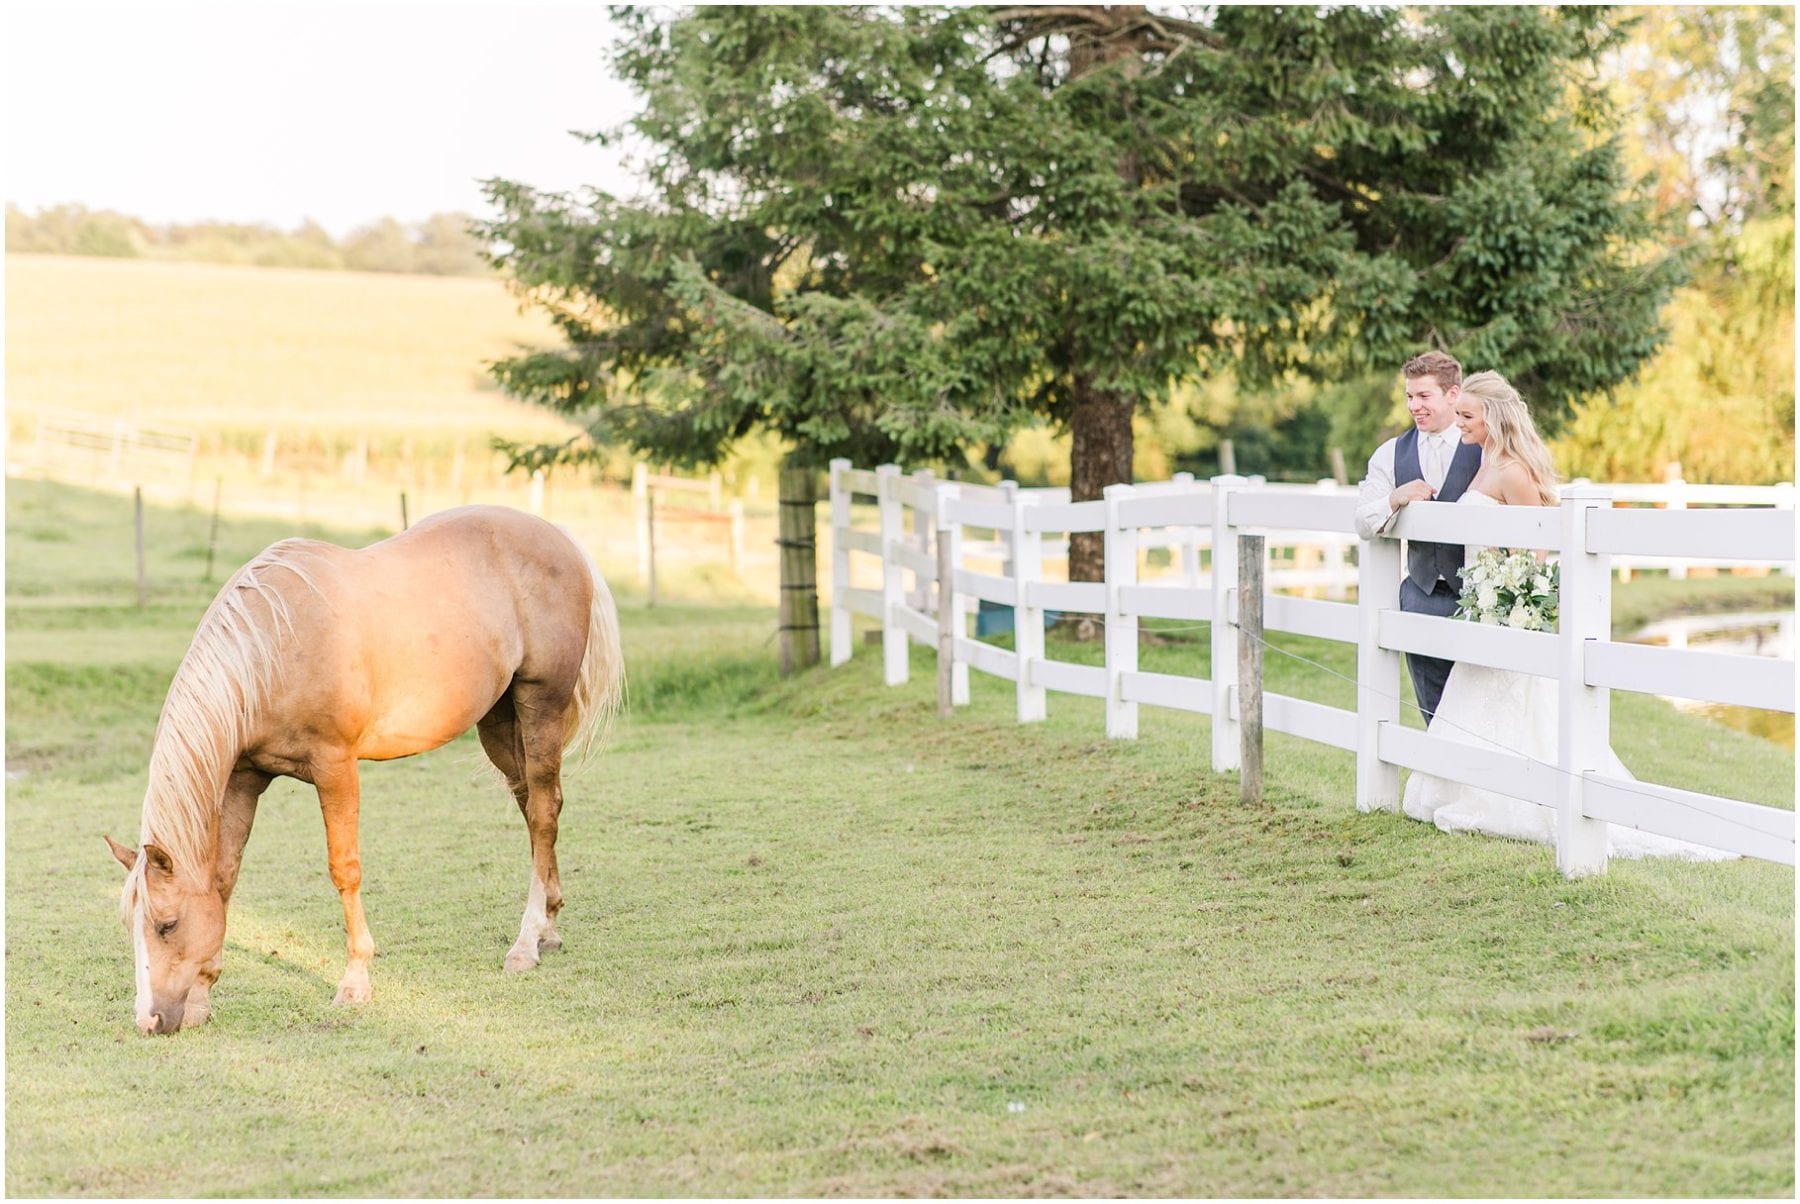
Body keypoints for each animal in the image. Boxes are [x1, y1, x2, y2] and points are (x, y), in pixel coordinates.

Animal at [105, 507, 630, 1036]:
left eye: (167, 925)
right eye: (133, 928)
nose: (149, 1020)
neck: (271, 648)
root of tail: (560, 538)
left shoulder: (335, 766)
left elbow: (345, 869)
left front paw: (356, 980)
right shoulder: (244, 778)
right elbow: (225, 875)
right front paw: (201, 999)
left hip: (541, 706)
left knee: (543, 813)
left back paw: (526, 943)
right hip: (500, 722)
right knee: (533, 808)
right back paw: (549, 928)